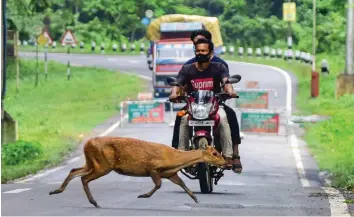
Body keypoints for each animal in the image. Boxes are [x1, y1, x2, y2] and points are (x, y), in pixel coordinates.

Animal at [48, 136, 225, 208]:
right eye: (215, 153)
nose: (225, 162)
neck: (174, 159)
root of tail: (86, 144)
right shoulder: (153, 168)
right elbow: (158, 185)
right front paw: (143, 195)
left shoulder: (169, 173)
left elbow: (181, 183)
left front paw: (195, 199)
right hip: (103, 164)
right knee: (84, 178)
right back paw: (94, 202)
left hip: (93, 162)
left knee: (74, 170)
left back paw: (56, 191)